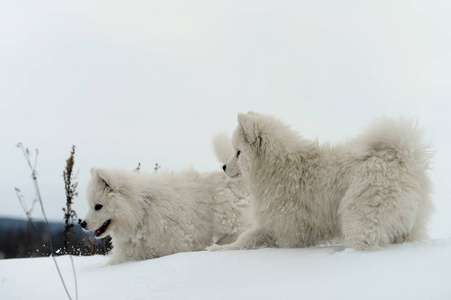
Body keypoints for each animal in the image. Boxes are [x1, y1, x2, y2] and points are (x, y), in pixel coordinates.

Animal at [81, 136, 251, 264]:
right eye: (90, 205)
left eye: (98, 206)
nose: (82, 223)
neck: (140, 210)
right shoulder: (130, 251)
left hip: (228, 223)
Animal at [208, 112, 434, 251]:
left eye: (238, 152)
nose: (224, 167)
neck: (278, 167)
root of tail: (400, 155)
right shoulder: (273, 224)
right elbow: (246, 239)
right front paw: (218, 248)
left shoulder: (288, 229)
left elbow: (249, 239)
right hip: (406, 223)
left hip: (361, 214)